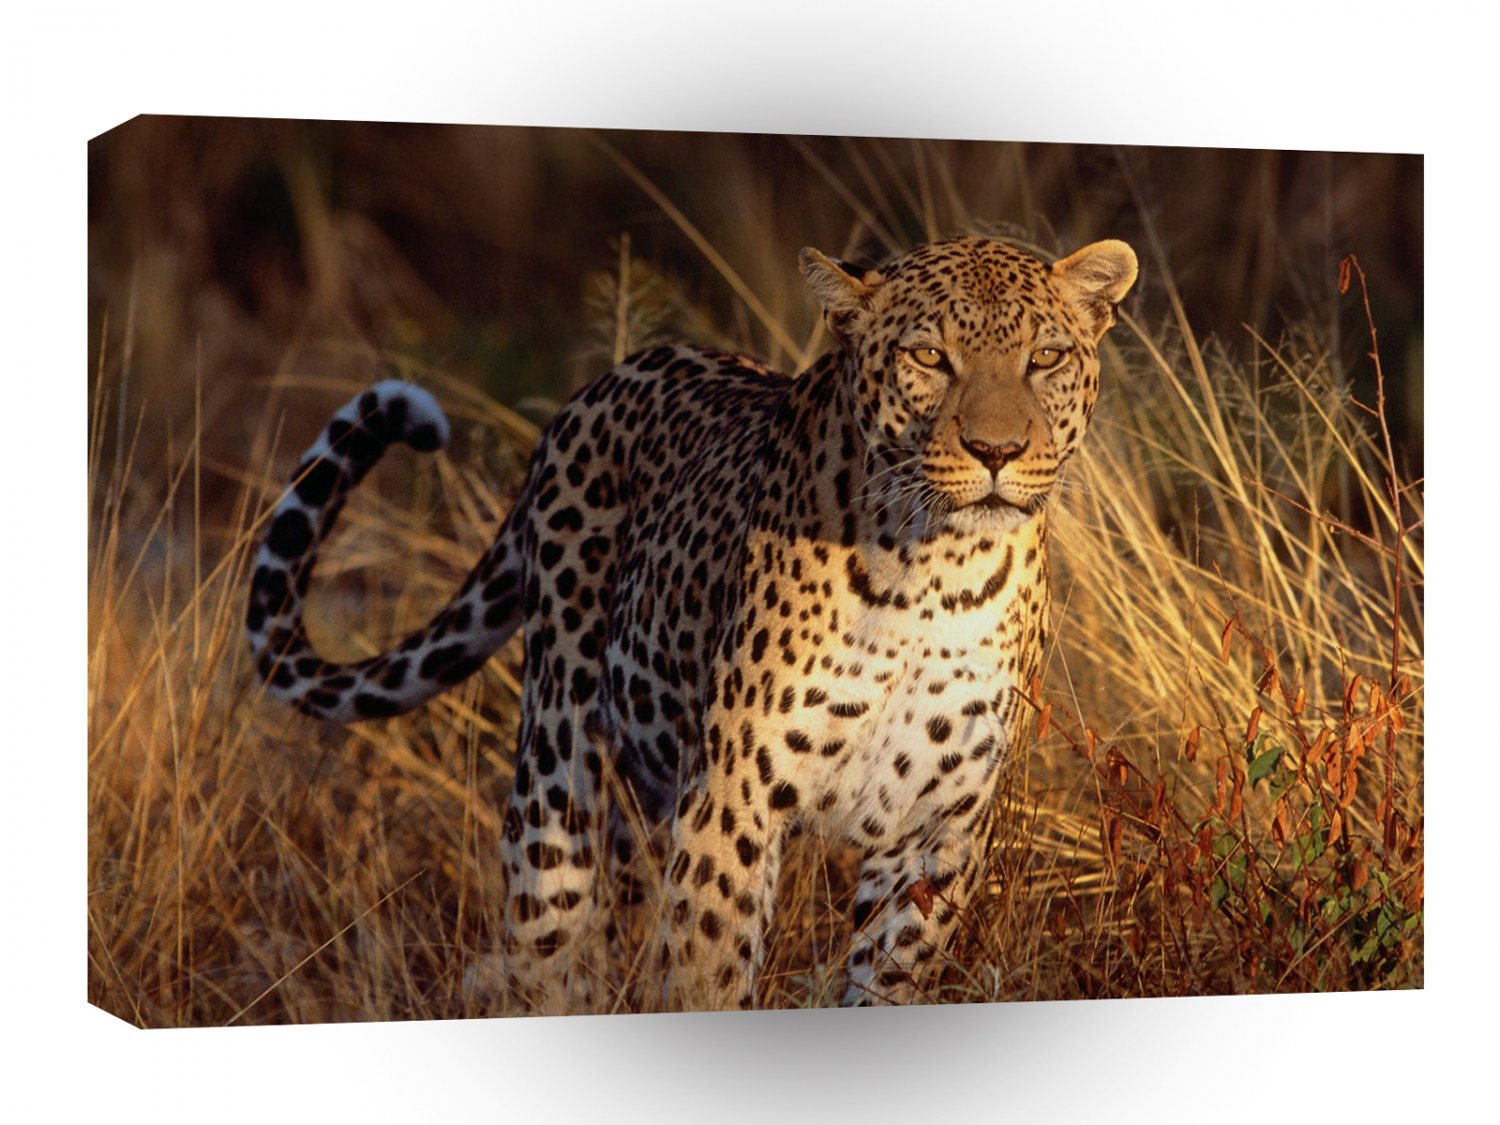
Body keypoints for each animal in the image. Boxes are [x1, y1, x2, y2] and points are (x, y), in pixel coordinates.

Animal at [245, 234, 1138, 1012]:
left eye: (1046, 359)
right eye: (928, 358)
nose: (997, 450)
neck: (936, 575)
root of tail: (611, 376)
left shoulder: (936, 830)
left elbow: (885, 980)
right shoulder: (732, 798)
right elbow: (709, 971)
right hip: (556, 773)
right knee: (548, 942)